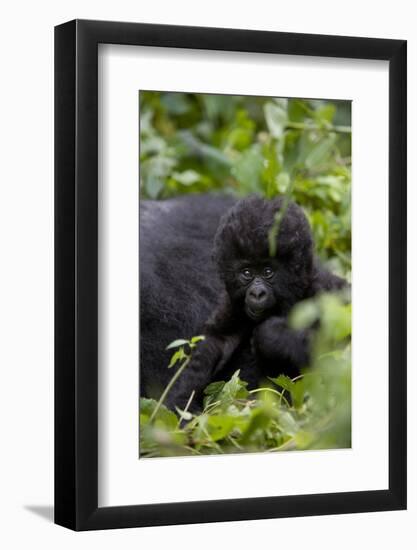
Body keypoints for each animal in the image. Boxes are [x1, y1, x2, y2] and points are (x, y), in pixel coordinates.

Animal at [158, 196, 342, 412]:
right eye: (247, 273)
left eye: (268, 271)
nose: (257, 293)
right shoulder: (231, 304)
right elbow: (214, 343)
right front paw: (179, 403)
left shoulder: (326, 289)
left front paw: (272, 335)